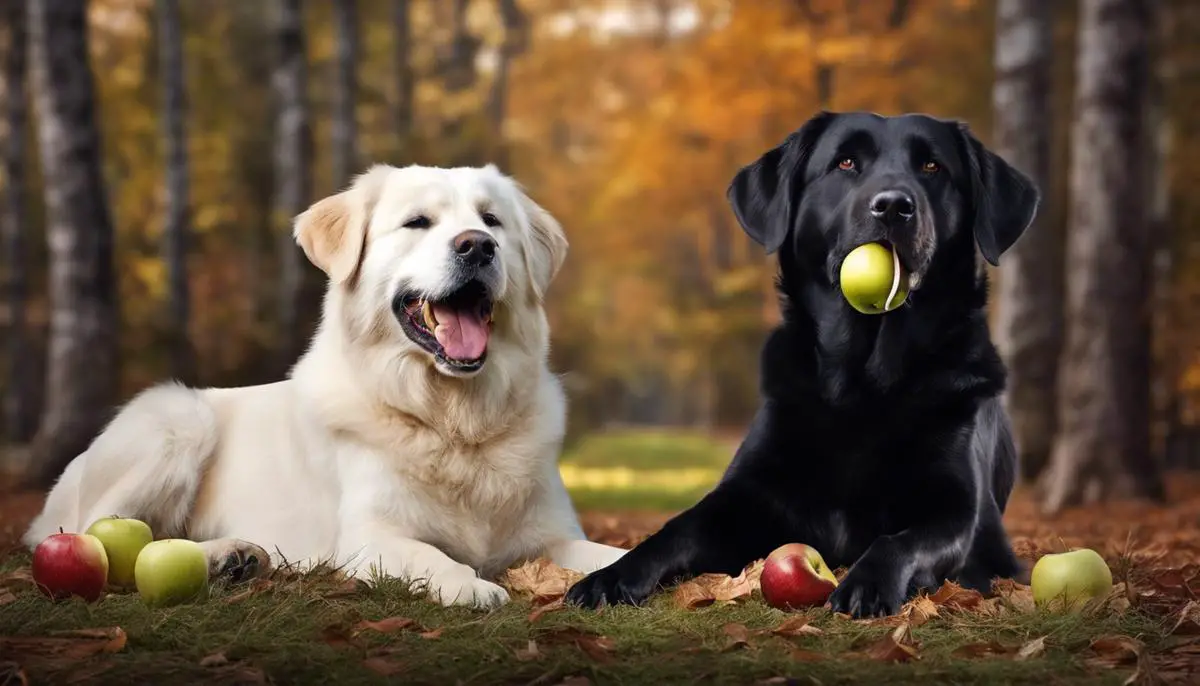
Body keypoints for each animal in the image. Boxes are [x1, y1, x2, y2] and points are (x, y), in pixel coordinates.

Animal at [23, 163, 628, 609]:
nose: (478, 246)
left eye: (492, 220)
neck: (453, 419)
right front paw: (470, 585)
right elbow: (431, 555)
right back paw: (225, 555)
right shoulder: (368, 536)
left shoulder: (550, 536)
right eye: (418, 222)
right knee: (110, 533)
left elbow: (610, 553)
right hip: (176, 419)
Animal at [566, 110, 1036, 614]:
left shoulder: (957, 511)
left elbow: (900, 540)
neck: (862, 383)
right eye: (846, 162)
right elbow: (674, 530)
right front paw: (611, 576)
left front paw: (868, 583)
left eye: (932, 167)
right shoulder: (744, 494)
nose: (893, 206)